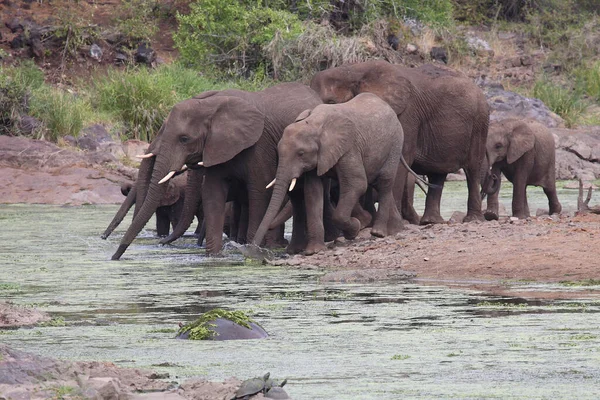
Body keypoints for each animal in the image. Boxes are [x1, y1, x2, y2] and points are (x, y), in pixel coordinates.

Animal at [109, 84, 322, 260]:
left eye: (184, 139)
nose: (114, 256)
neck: (211, 104)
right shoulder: (217, 146)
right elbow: (213, 194)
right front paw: (214, 257)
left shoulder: (260, 145)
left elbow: (259, 194)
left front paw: (252, 250)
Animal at [253, 92, 412, 255]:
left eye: (301, 153)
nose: (253, 250)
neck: (315, 124)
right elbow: (312, 192)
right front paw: (314, 251)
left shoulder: (349, 148)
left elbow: (357, 184)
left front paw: (355, 229)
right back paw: (394, 230)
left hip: (395, 142)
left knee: (384, 182)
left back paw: (378, 232)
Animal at [310, 59, 488, 225]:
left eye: (331, 102)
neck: (353, 70)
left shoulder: (407, 113)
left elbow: (400, 160)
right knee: (437, 174)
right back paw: (430, 221)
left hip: (480, 123)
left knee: (473, 170)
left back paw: (473, 219)